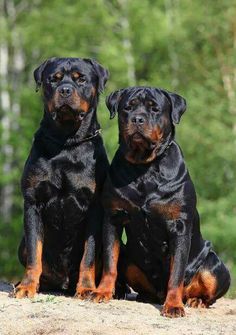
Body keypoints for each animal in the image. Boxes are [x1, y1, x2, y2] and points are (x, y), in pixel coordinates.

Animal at [15, 57, 109, 300]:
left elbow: (89, 255)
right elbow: (34, 252)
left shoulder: (94, 207)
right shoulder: (33, 202)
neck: (67, 143)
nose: (65, 90)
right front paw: (27, 286)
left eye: (81, 79)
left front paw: (86, 287)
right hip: (22, 244)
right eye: (54, 79)